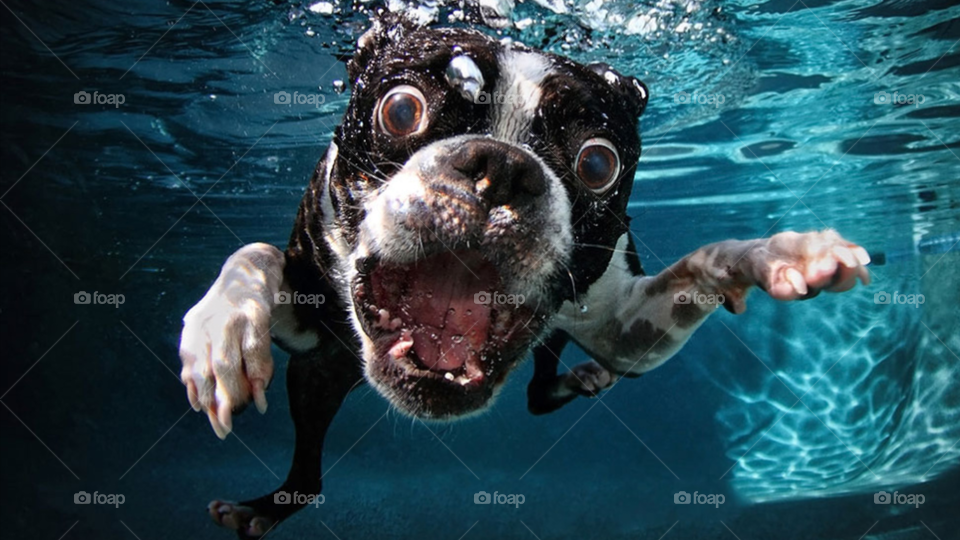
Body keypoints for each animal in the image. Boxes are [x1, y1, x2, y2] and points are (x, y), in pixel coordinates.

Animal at [178, 14, 872, 536]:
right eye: (400, 111)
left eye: (598, 163)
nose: (502, 167)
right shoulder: (306, 322)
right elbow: (253, 254)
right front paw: (220, 334)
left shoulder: (630, 330)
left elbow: (705, 260)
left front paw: (780, 252)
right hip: (317, 374)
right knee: (310, 471)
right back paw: (261, 509)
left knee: (542, 390)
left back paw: (578, 379)